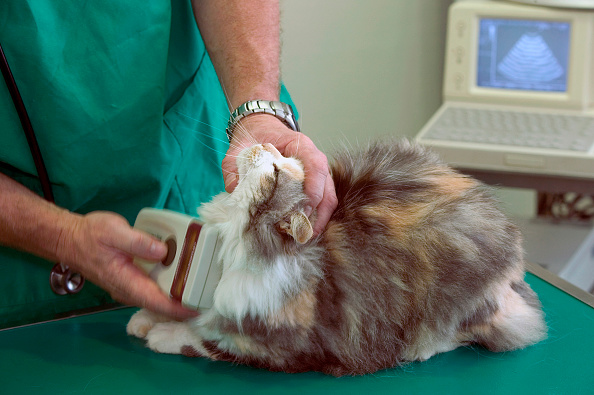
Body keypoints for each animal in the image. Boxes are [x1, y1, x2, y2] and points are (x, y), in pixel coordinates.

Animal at [127, 140, 544, 378]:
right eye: (282, 158)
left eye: (275, 169)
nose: (264, 142)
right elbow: (181, 313)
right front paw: (144, 318)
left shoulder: (279, 345)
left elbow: (203, 341)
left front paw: (161, 335)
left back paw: (420, 349)